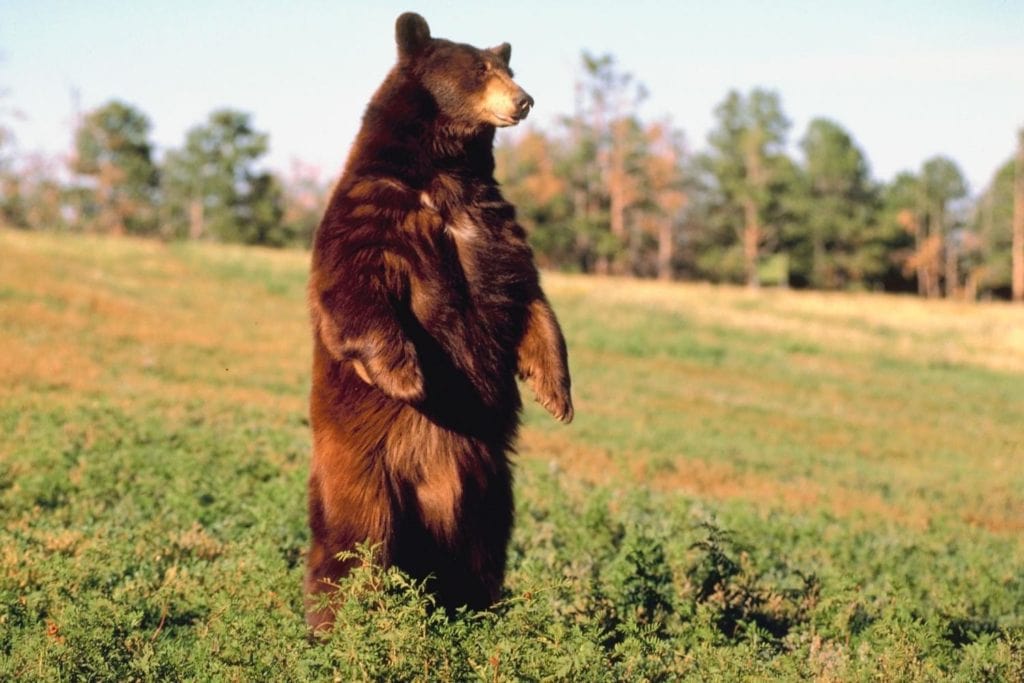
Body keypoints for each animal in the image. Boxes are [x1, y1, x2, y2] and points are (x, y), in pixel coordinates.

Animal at [304, 12, 573, 630]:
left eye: (507, 68)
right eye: (479, 69)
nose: (524, 100)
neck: (446, 172)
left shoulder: (493, 225)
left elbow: (528, 296)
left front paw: (557, 394)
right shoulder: (376, 212)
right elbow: (353, 288)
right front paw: (407, 376)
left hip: (489, 486)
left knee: (479, 554)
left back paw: (479, 614)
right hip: (367, 472)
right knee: (356, 544)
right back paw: (338, 621)